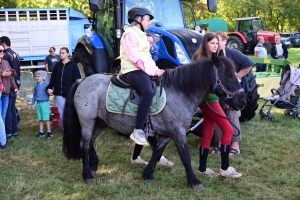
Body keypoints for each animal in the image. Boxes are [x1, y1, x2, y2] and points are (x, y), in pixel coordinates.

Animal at [62, 55, 246, 190]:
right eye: (228, 74)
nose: (242, 101)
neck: (180, 91)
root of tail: (82, 81)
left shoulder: (167, 134)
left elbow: (157, 152)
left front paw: (148, 174)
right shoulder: (178, 132)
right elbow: (185, 156)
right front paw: (194, 181)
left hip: (100, 122)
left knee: (89, 142)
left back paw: (94, 165)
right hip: (87, 121)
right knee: (85, 144)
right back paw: (87, 174)